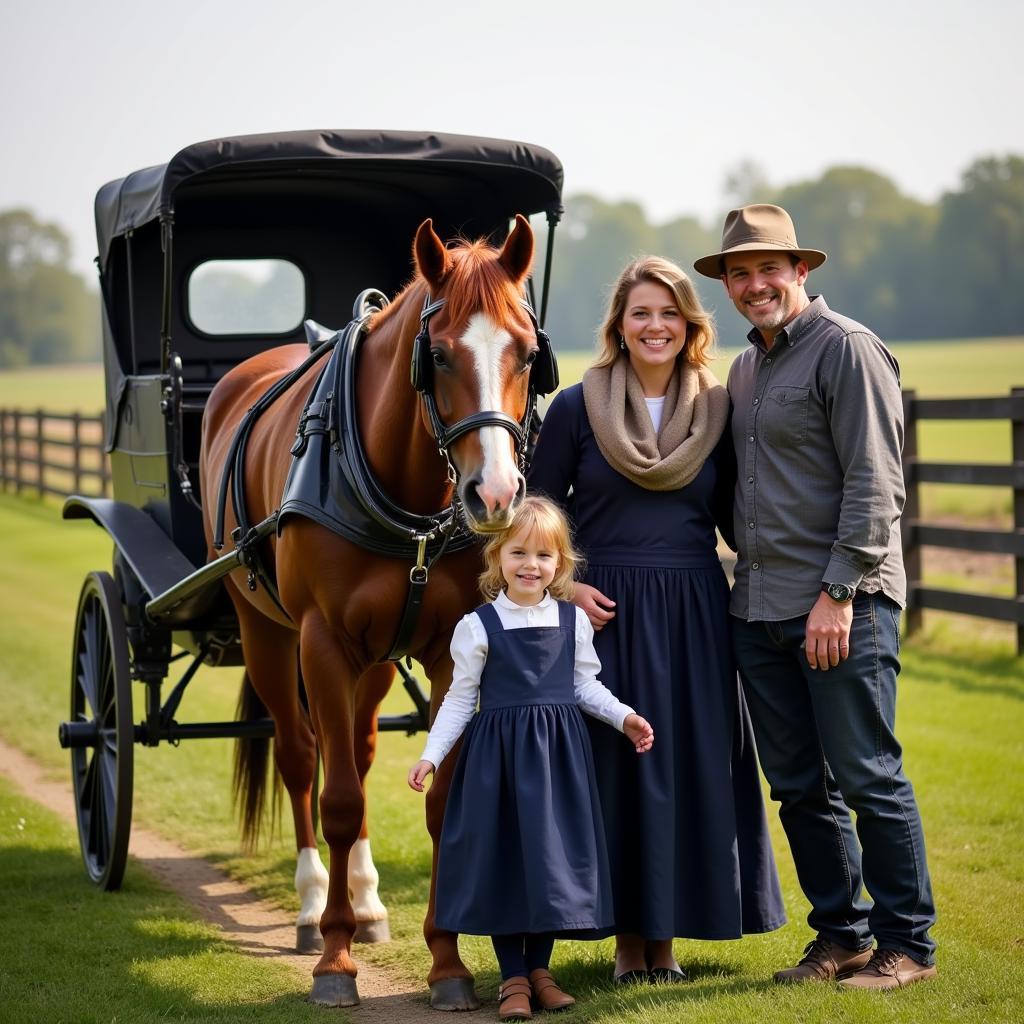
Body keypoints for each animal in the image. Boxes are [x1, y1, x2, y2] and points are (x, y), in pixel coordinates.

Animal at [197, 216, 544, 1007]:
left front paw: (446, 962)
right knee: (302, 759)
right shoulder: (322, 643)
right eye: (438, 354)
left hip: (377, 657)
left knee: (353, 748)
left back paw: (366, 898)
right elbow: (340, 802)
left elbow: (438, 799)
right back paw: (310, 904)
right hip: (266, 633)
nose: (494, 494)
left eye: (528, 352)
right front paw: (334, 958)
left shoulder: (447, 651)